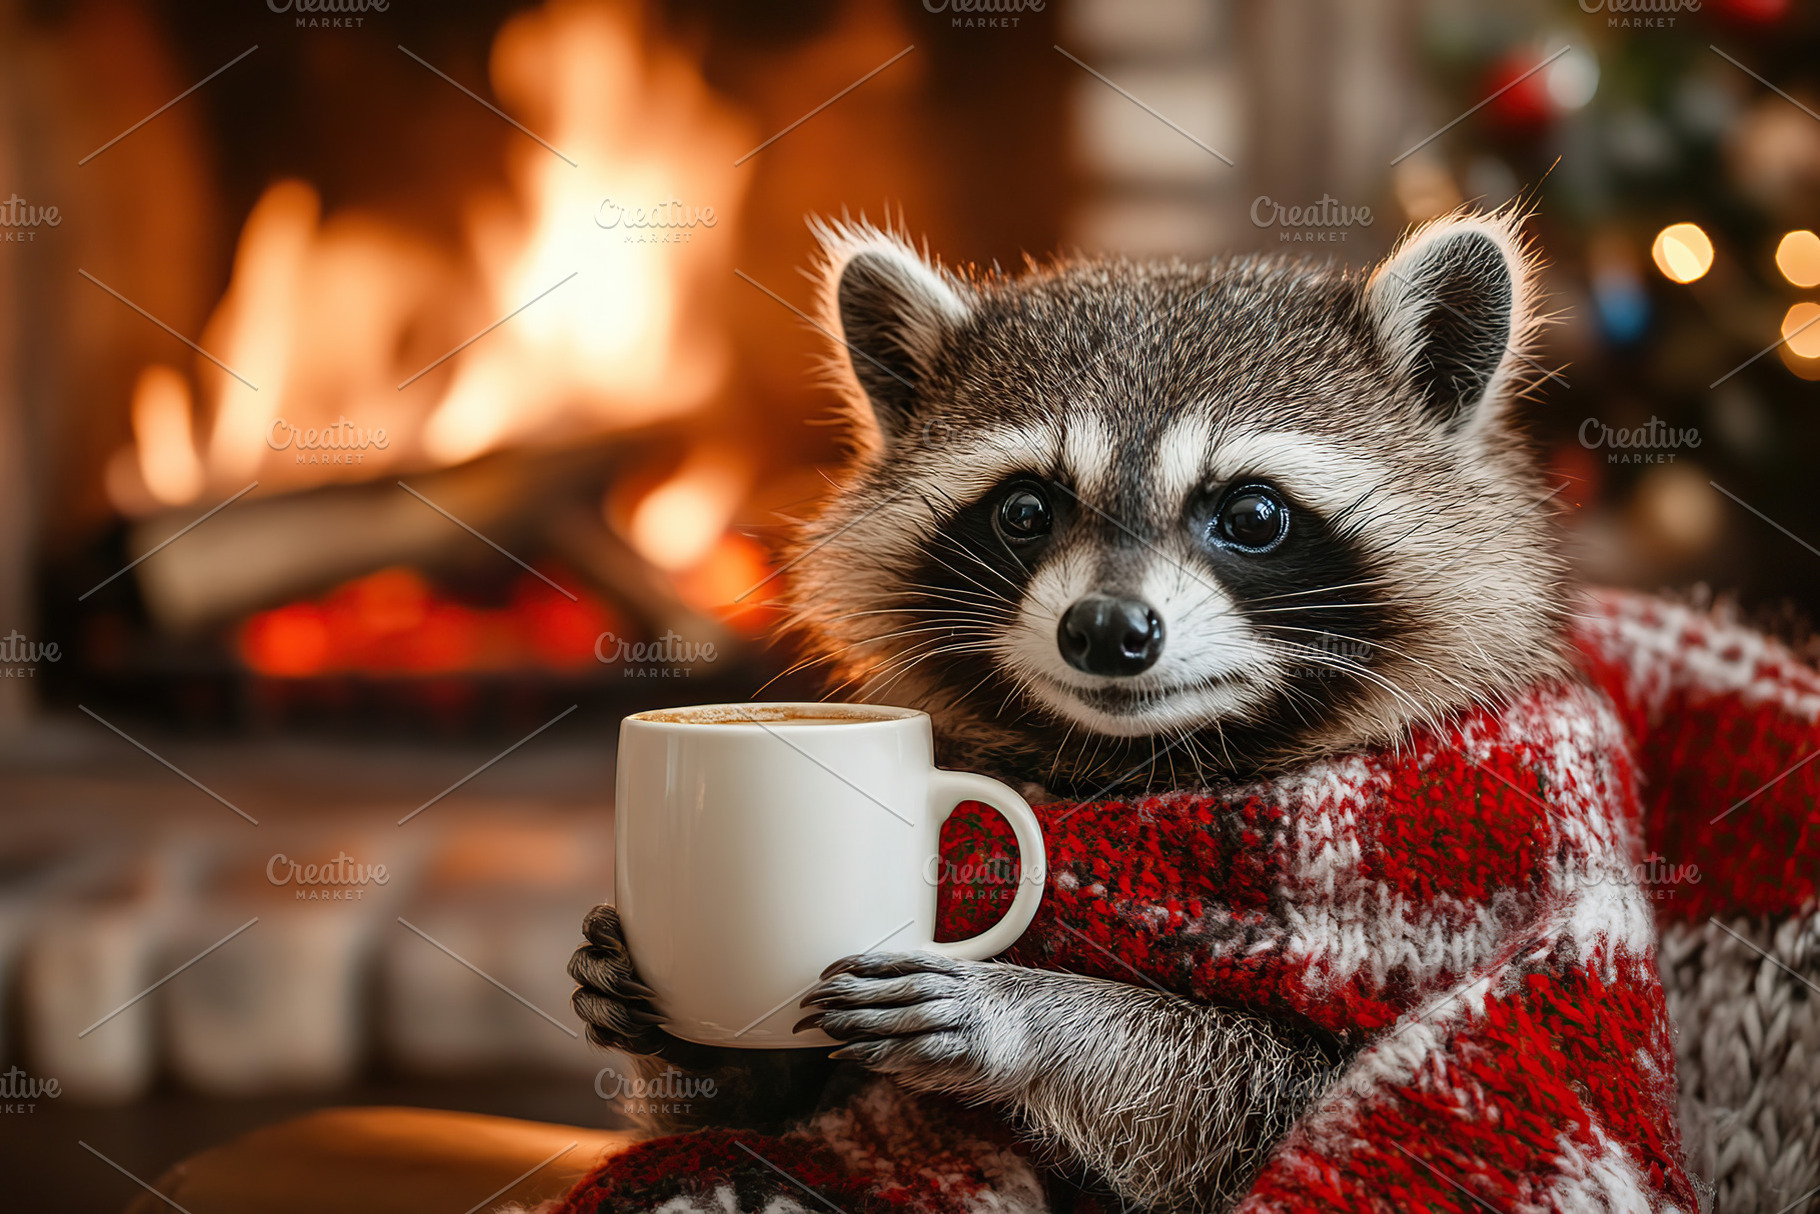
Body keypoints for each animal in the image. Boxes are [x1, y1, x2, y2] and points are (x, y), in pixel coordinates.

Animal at [572, 210, 1568, 1212]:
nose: (1107, 629)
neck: (1142, 762)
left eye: (1253, 516)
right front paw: (690, 1035)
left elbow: (1292, 1104)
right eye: (1024, 509)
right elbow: (754, 1104)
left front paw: (1036, 1017)